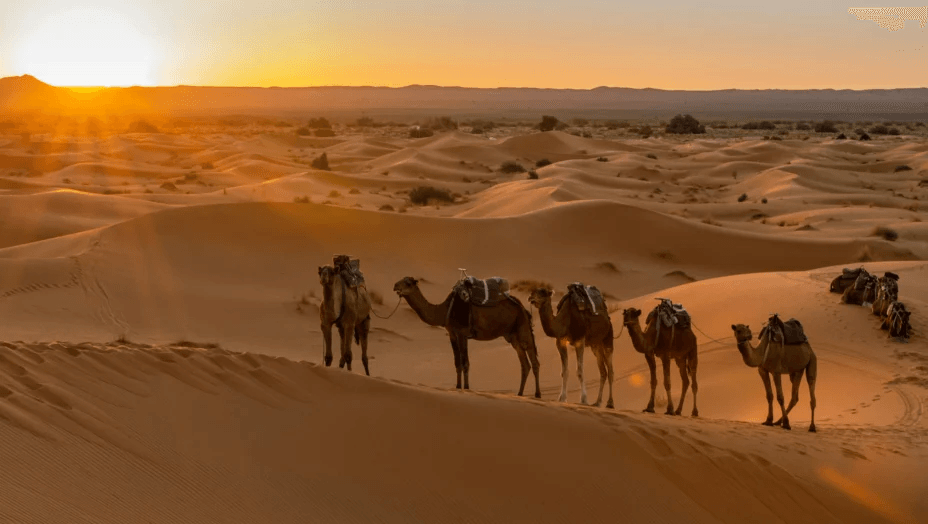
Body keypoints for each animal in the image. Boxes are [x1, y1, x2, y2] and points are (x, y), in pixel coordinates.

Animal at [393, 276, 541, 397]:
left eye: (408, 283)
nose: (395, 286)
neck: (445, 309)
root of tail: (523, 308)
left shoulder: (462, 333)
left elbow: (466, 363)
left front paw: (467, 388)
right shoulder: (452, 334)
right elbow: (457, 363)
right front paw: (458, 387)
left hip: (523, 328)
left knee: (534, 361)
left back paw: (537, 394)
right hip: (513, 336)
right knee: (525, 364)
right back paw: (520, 393)